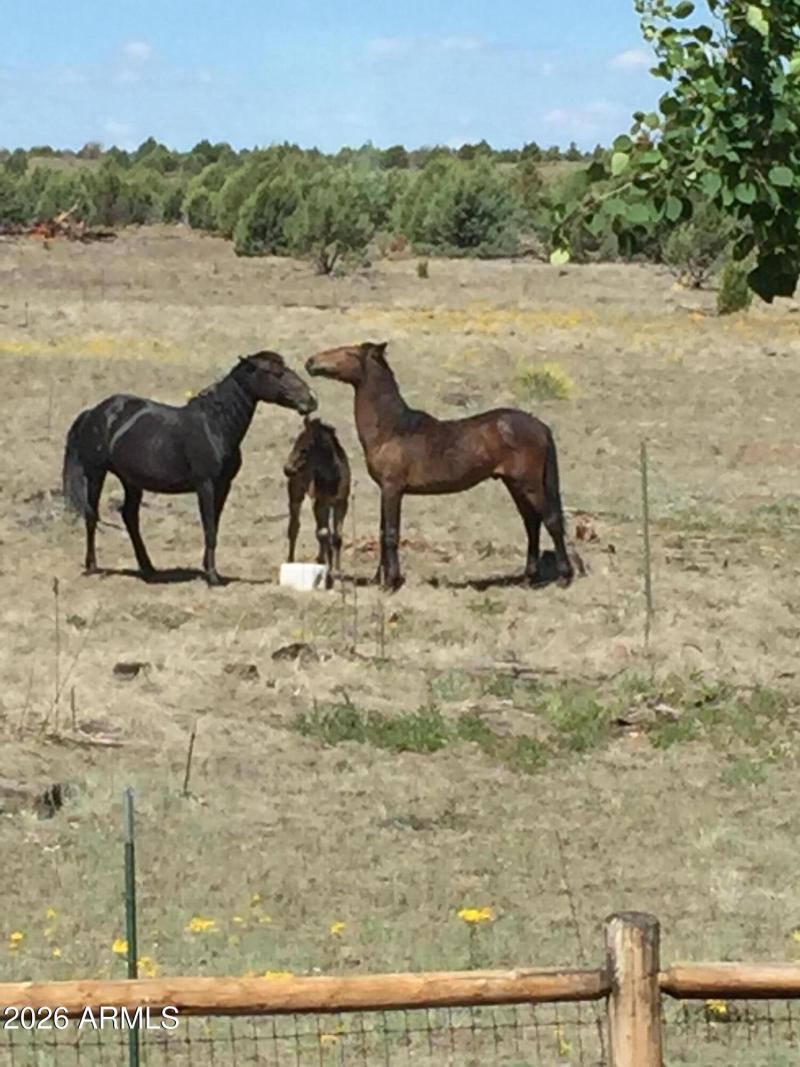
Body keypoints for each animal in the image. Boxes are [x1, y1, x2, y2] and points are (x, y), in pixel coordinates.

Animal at [61, 350, 317, 586]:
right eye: (275, 372)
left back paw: (148, 568)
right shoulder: (205, 485)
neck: (216, 425)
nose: (310, 400)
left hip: (131, 481)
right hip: (96, 474)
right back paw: (93, 567)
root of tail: (93, 412)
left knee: (129, 517)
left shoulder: (223, 486)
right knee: (92, 514)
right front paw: (212, 577)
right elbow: (209, 527)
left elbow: (214, 525)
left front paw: (209, 570)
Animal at [283, 417, 351, 582]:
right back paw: (291, 560)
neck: (333, 478)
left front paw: (337, 571)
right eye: (295, 443)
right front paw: (328, 570)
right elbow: (324, 534)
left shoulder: (341, 504)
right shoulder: (321, 503)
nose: (287, 469)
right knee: (294, 527)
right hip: (297, 494)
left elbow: (336, 537)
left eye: (305, 449)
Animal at [305, 341, 574, 592]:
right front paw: (380, 579)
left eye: (349, 352)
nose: (310, 362)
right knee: (531, 522)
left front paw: (391, 583)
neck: (392, 429)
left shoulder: (392, 489)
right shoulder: (386, 490)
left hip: (529, 484)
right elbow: (383, 532)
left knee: (551, 520)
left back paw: (564, 576)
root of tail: (540, 426)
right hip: (514, 484)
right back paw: (529, 578)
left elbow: (391, 534)